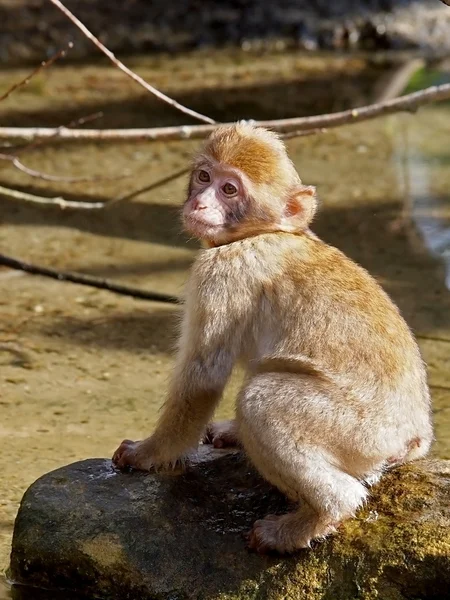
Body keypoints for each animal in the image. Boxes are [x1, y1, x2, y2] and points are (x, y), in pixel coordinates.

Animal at [113, 122, 432, 552]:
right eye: (204, 177)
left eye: (230, 190)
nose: (200, 204)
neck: (265, 232)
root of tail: (416, 436)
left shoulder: (222, 273)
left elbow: (203, 376)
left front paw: (149, 453)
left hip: (364, 433)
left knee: (260, 400)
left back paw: (317, 517)